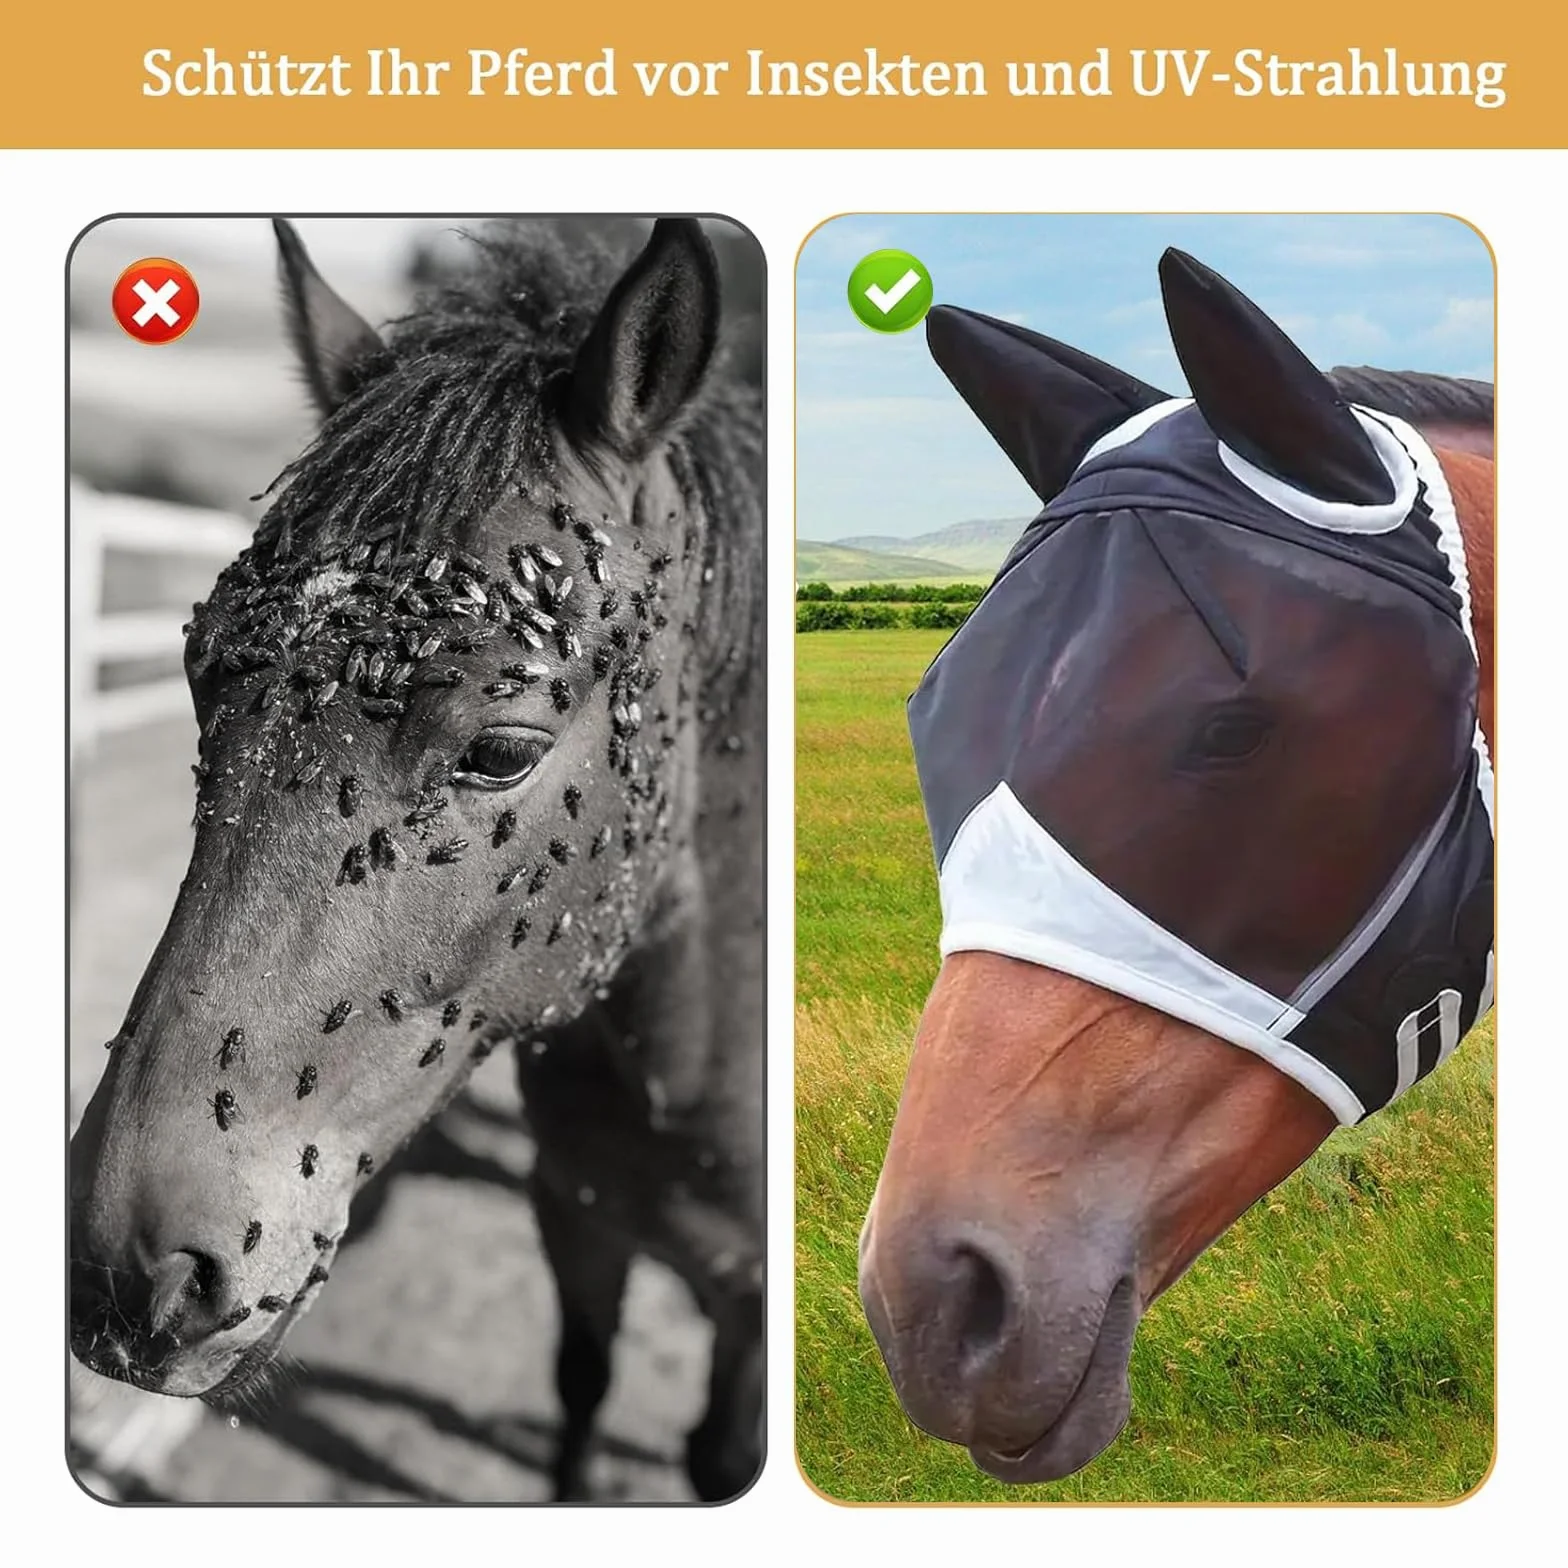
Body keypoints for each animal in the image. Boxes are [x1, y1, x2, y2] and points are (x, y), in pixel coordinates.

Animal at [68, 216, 766, 1503]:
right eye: (197, 674)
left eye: (501, 748)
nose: (130, 1274)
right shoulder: (574, 1220)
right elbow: (579, 1389)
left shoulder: (747, 1308)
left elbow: (717, 1451)